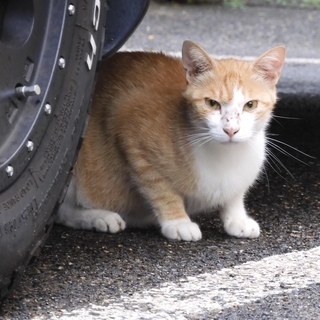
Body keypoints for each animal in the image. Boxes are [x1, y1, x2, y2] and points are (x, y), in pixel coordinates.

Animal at [56, 39, 286, 240]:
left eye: (250, 105)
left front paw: (236, 218)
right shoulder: (130, 130)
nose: (231, 130)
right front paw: (178, 222)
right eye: (212, 103)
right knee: (63, 212)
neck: (226, 156)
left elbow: (235, 194)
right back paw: (99, 217)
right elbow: (161, 189)